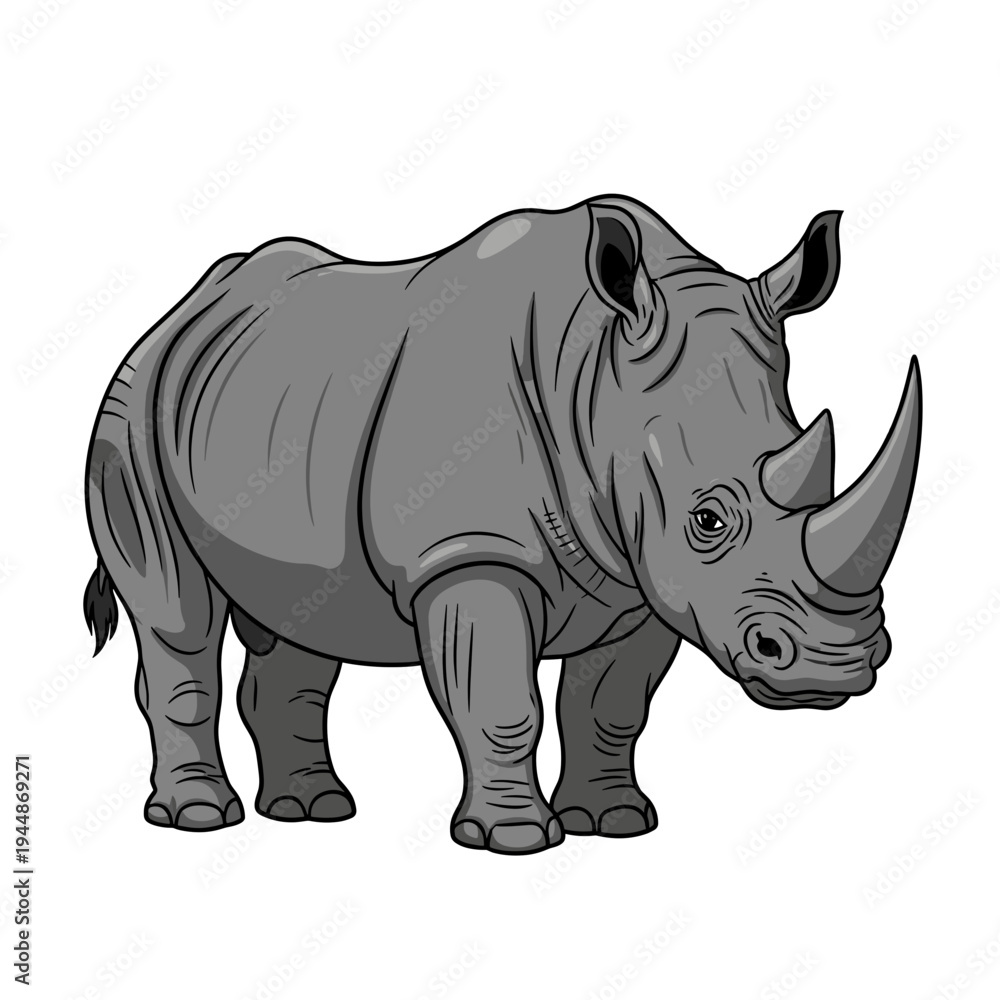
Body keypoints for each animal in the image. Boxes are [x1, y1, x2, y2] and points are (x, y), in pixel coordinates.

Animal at [84, 195, 921, 854]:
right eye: (709, 518)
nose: (834, 668)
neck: (597, 380)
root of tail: (181, 311)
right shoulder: (471, 555)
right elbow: (499, 700)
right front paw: (514, 840)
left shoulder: (646, 577)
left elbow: (609, 706)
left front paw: (614, 824)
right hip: (130, 409)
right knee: (176, 615)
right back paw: (199, 819)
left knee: (300, 616)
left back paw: (312, 812)